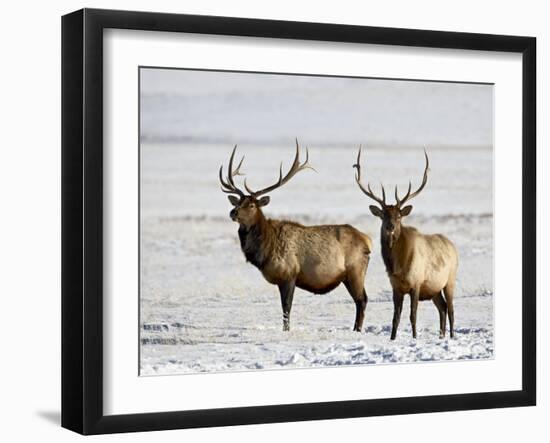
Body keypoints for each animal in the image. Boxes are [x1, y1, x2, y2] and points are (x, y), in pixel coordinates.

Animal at [221, 140, 376, 332]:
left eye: (251, 205)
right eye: (238, 202)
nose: (233, 212)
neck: (265, 250)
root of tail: (367, 240)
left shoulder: (289, 274)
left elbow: (286, 308)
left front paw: (286, 331)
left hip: (355, 270)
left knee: (362, 300)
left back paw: (357, 330)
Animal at [354, 148, 462, 340]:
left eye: (399, 216)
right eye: (383, 215)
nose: (390, 226)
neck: (399, 266)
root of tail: (452, 245)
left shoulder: (416, 283)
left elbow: (413, 315)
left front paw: (414, 337)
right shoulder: (396, 287)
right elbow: (395, 317)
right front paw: (392, 338)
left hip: (450, 279)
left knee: (451, 309)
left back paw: (450, 336)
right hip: (434, 288)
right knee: (442, 308)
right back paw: (441, 336)